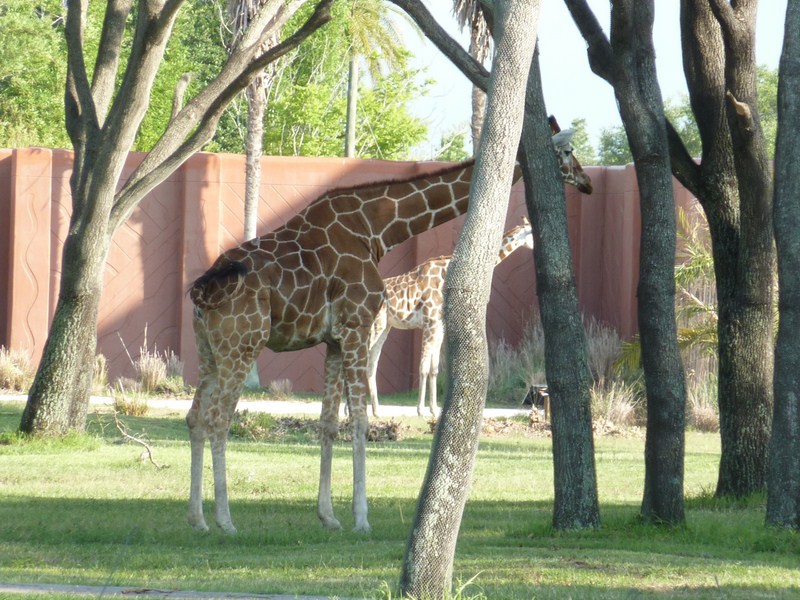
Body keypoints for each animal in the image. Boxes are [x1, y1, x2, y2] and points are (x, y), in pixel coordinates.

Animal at [368, 216, 532, 418]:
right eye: (532, 232)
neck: (446, 273)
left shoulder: (439, 326)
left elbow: (434, 368)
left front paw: (433, 410)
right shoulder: (430, 323)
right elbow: (423, 367)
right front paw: (420, 410)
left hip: (385, 327)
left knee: (371, 363)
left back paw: (376, 411)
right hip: (374, 325)